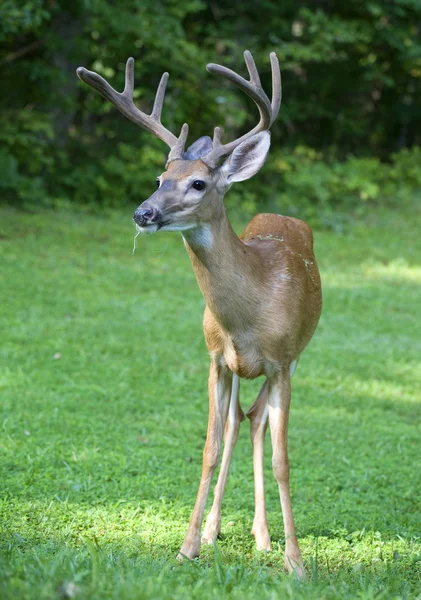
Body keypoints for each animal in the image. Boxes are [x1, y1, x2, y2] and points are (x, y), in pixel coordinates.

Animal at [77, 50, 322, 576]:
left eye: (198, 182)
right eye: (158, 179)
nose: (144, 213)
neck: (248, 315)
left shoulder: (281, 361)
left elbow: (283, 460)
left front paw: (295, 562)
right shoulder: (214, 358)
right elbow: (209, 448)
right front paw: (187, 546)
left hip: (293, 360)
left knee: (257, 421)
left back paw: (264, 537)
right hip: (237, 370)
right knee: (239, 423)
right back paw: (220, 531)